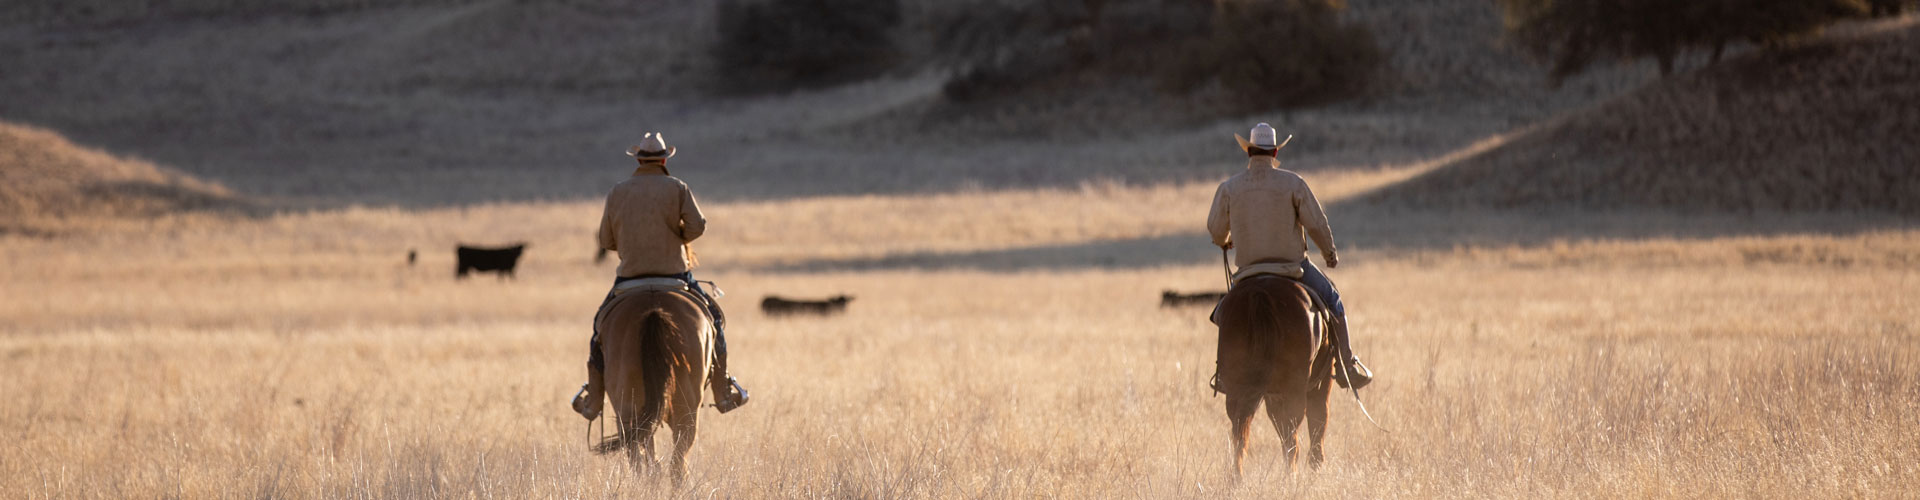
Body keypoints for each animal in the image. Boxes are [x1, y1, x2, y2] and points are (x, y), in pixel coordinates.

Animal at [1213, 275, 1336, 478]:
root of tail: (1259, 293)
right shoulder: (1322, 381)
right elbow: (1318, 419)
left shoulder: (1272, 395)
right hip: (1295, 389)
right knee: (1293, 438)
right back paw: (1291, 476)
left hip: (1238, 388)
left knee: (1240, 433)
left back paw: (1237, 478)